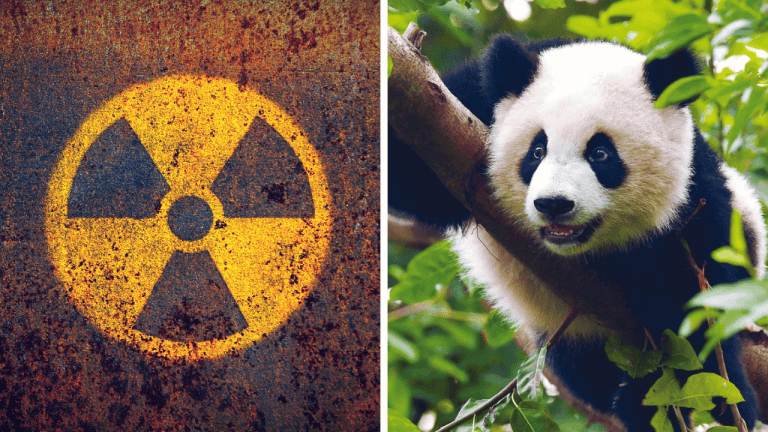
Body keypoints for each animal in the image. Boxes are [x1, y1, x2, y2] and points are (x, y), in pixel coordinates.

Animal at [389, 34, 766, 431]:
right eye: (537, 150)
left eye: (600, 153)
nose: (554, 204)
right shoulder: (466, 105)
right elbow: (409, 177)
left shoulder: (694, 195)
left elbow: (699, 296)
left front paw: (718, 396)